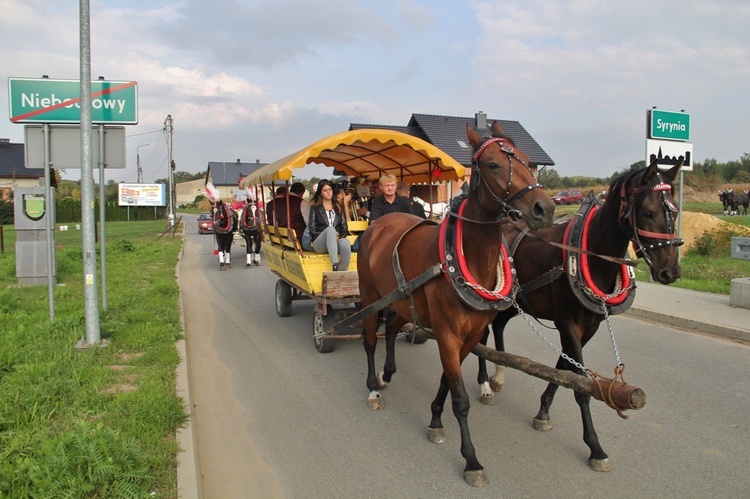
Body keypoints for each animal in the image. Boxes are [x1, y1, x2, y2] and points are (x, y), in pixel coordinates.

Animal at [358, 122, 560, 488]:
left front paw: (436, 420)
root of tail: (378, 224)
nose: (544, 209)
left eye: (526, 160)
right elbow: (462, 399)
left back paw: (387, 372)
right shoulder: (448, 334)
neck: (464, 258)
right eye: (493, 165)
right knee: (369, 339)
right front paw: (471, 460)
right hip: (369, 296)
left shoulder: (468, 336)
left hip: (401, 300)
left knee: (391, 328)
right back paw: (372, 389)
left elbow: (446, 382)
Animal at [478, 159, 684, 472]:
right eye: (648, 212)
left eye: (675, 209)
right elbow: (581, 386)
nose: (670, 271)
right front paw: (595, 447)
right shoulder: (568, 324)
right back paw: (485, 385)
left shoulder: (588, 328)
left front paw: (543, 412)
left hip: (514, 302)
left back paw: (499, 373)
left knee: (498, 326)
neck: (588, 254)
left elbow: (564, 368)